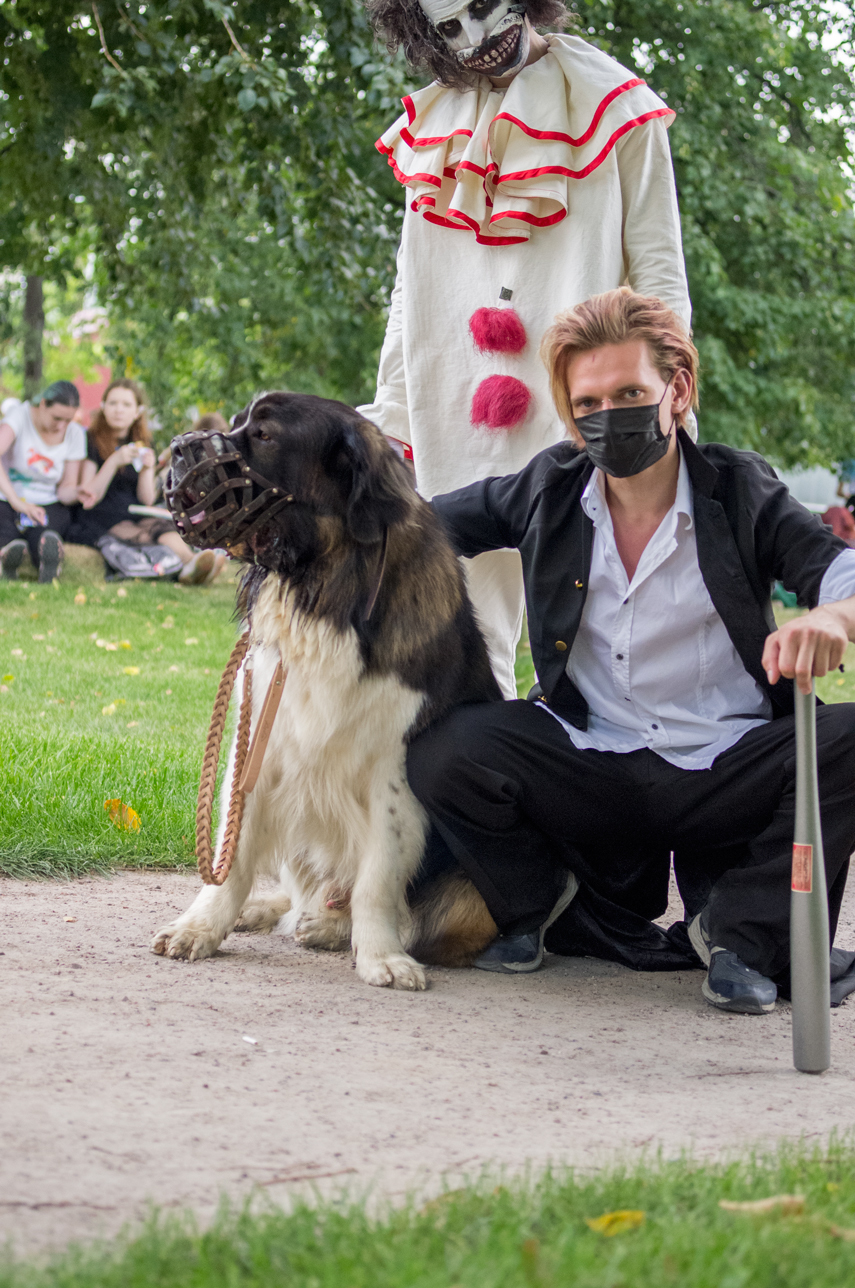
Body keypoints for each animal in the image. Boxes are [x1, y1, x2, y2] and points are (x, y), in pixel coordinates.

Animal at [151, 388, 502, 984]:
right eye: (237, 422)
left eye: (264, 435)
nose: (177, 446)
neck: (325, 592)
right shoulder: (263, 742)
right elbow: (233, 854)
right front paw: (202, 925)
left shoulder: (391, 770)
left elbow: (378, 879)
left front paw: (381, 954)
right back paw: (269, 911)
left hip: (475, 899)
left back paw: (332, 928)